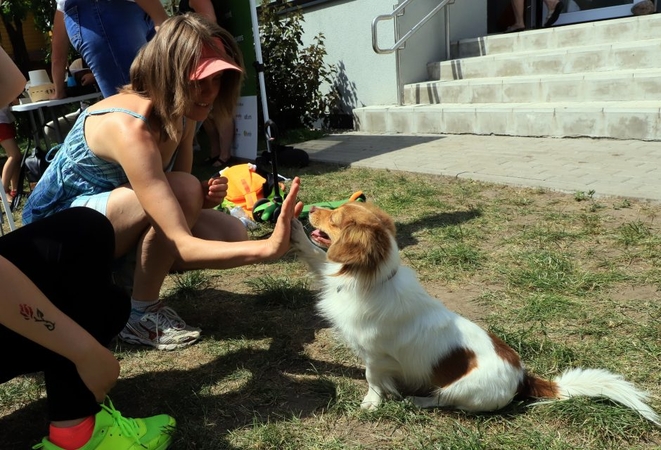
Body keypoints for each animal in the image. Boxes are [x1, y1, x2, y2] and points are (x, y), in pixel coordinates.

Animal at [290, 201, 660, 426]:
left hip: (462, 389)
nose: (309, 208)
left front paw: (371, 403)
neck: (369, 281)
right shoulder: (329, 273)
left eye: (335, 218)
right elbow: (314, 256)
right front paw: (292, 228)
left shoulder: (375, 356)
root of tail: (524, 376)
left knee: (443, 400)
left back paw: (417, 401)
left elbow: (372, 381)